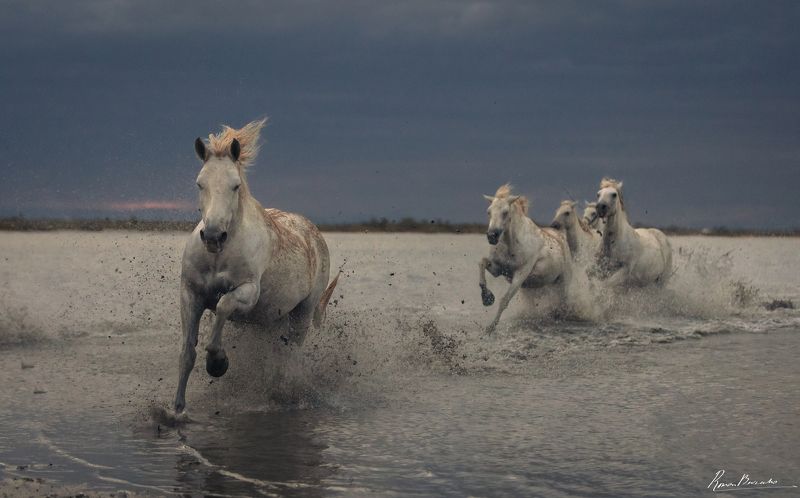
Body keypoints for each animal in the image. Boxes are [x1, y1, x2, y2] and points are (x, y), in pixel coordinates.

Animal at [174, 118, 338, 414]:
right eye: (200, 183)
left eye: (235, 185)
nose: (213, 236)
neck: (219, 256)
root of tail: (312, 230)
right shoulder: (190, 293)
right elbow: (187, 353)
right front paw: (178, 409)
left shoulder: (248, 291)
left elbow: (223, 305)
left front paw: (217, 363)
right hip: (270, 320)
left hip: (302, 314)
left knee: (290, 356)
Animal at [478, 184, 571, 334]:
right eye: (489, 212)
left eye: (505, 212)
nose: (492, 236)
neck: (512, 245)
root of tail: (561, 235)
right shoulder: (498, 269)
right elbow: (482, 263)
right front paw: (487, 298)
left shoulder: (521, 274)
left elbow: (504, 300)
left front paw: (491, 327)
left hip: (563, 282)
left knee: (562, 302)